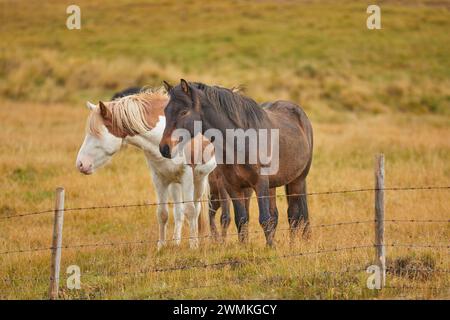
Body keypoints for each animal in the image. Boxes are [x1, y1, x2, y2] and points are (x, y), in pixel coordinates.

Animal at [75, 88, 216, 250]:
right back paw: (176, 242)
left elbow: (190, 211)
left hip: (199, 180)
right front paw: (161, 246)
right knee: (178, 212)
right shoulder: (159, 179)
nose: (80, 164)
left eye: (96, 134)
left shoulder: (187, 177)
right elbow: (162, 214)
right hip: (174, 183)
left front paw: (193, 246)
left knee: (195, 208)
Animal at [159, 80, 312, 248]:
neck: (240, 142)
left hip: (298, 181)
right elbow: (242, 219)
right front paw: (244, 247)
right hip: (273, 185)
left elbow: (264, 219)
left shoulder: (260, 184)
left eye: (184, 112)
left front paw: (271, 248)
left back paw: (293, 245)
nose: (164, 148)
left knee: (294, 214)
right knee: (278, 214)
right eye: (166, 111)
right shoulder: (233, 186)